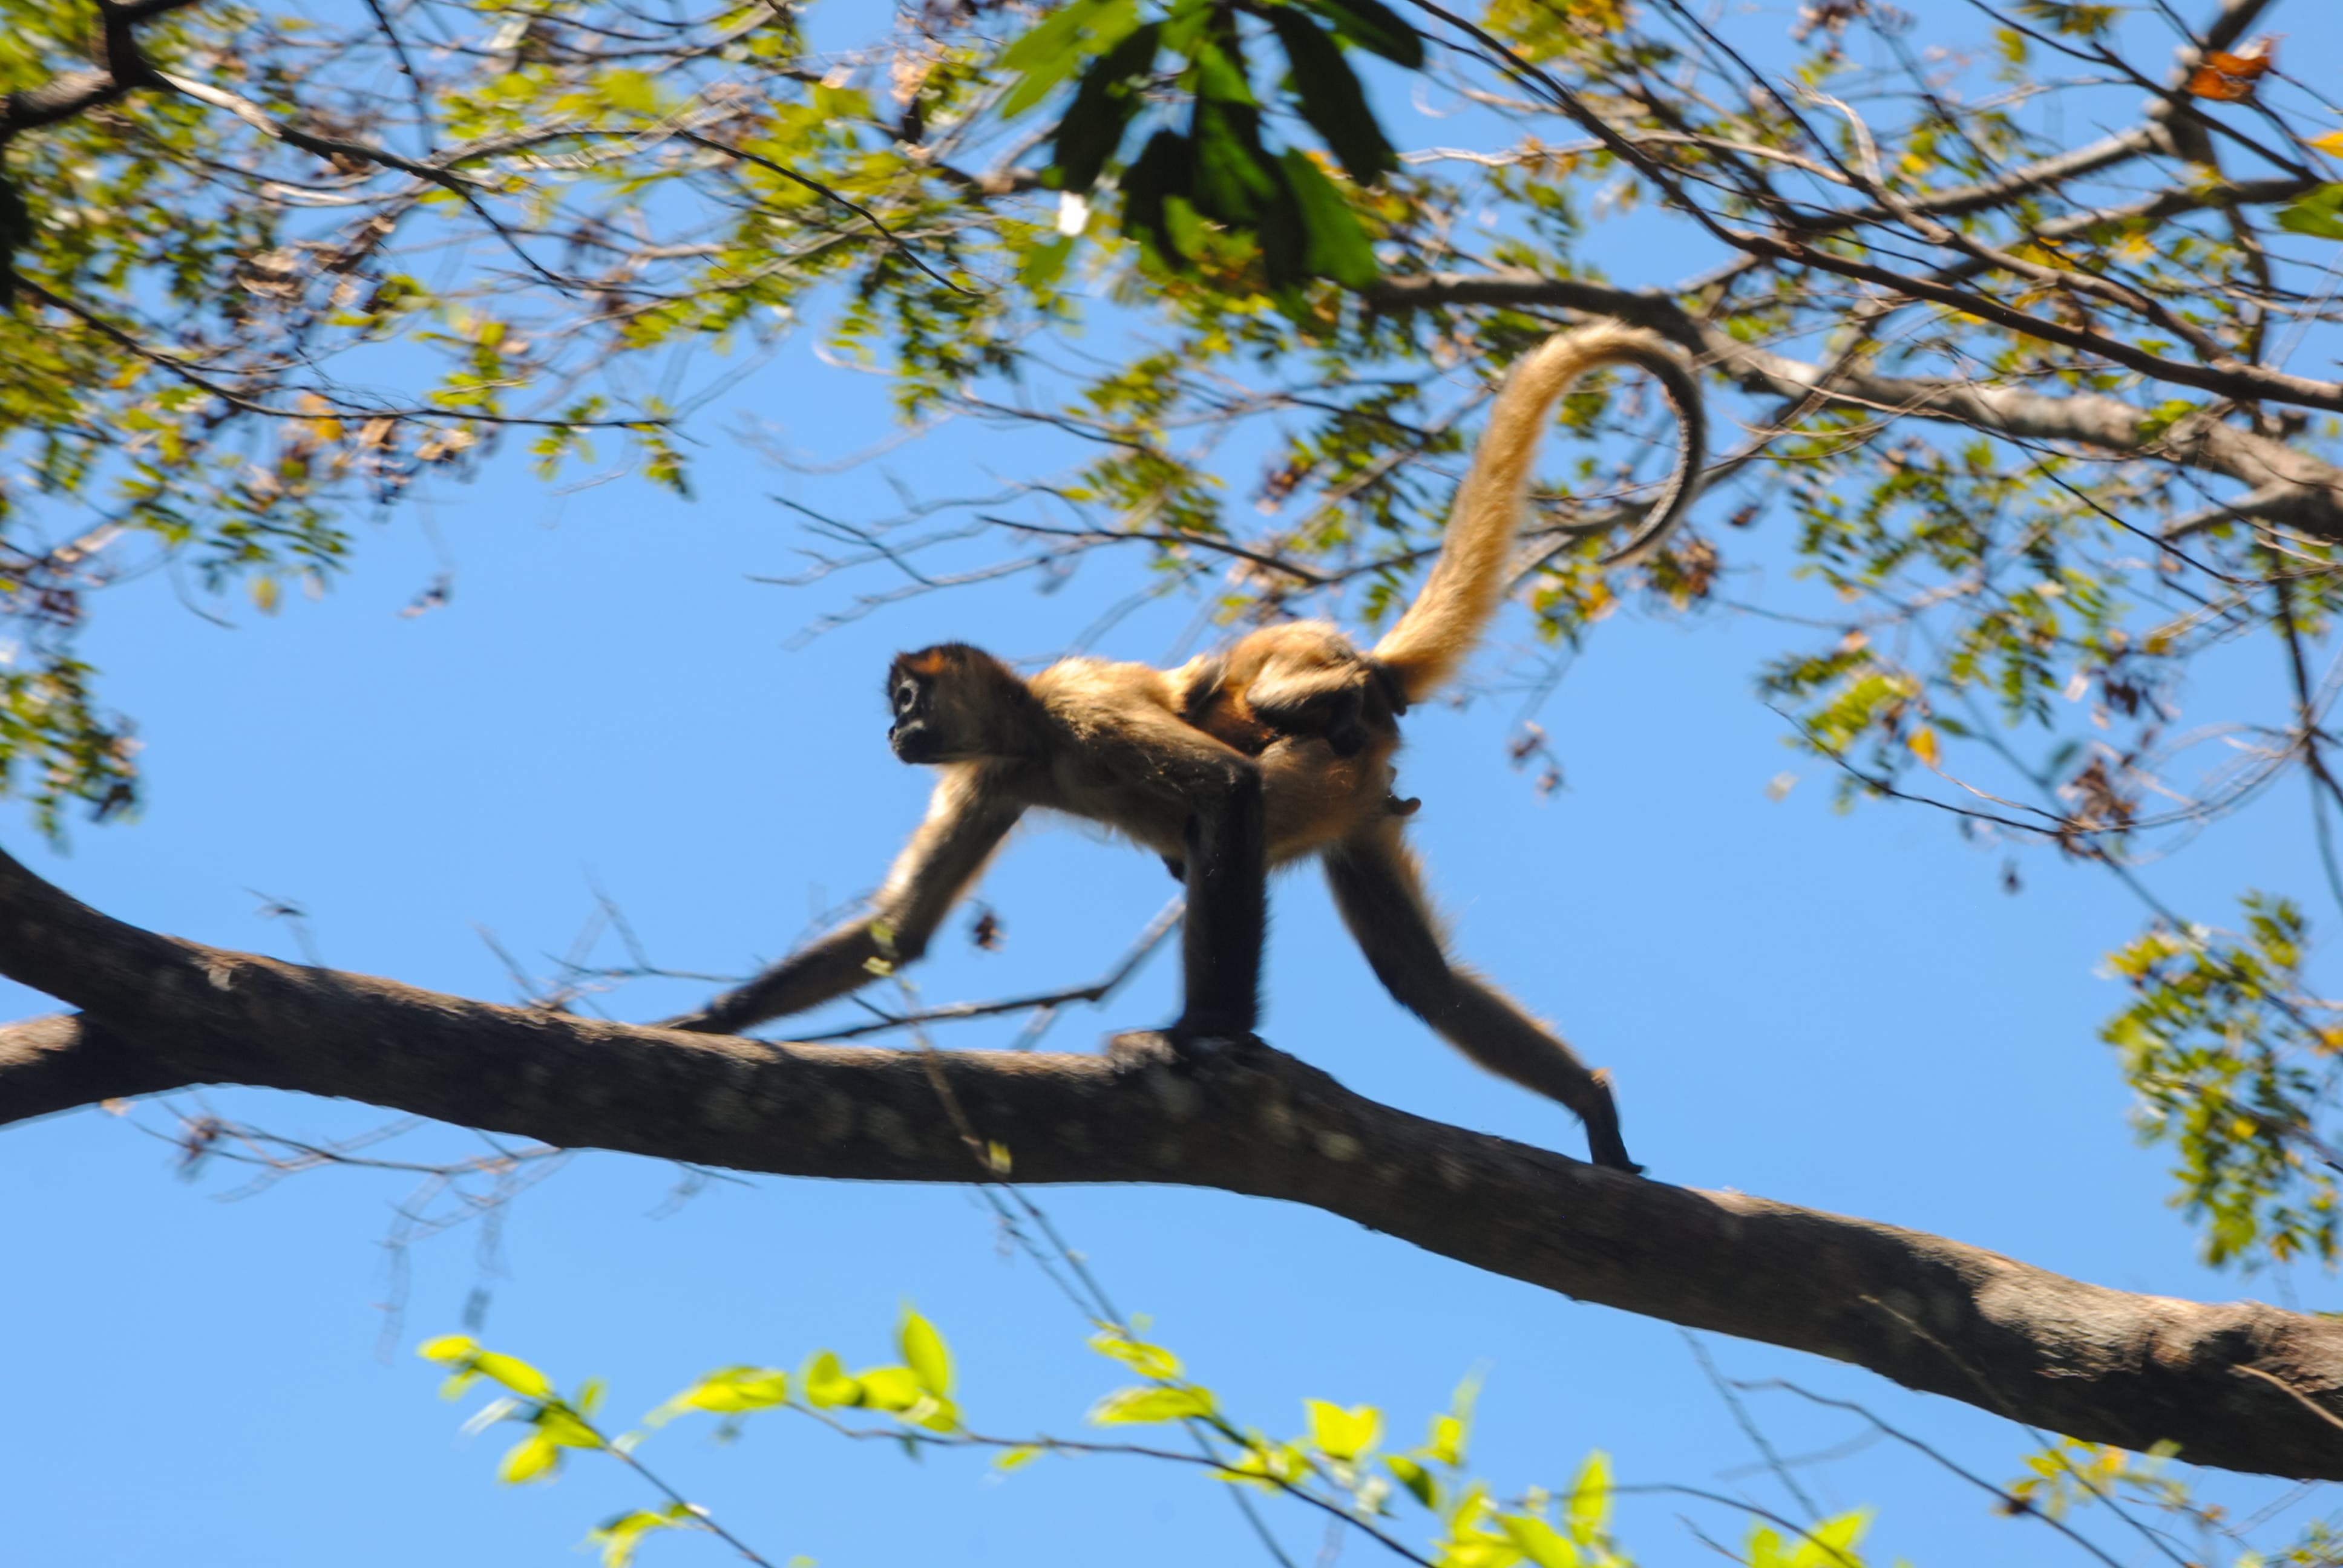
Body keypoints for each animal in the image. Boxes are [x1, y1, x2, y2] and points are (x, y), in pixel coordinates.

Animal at [666, 323, 1704, 1173]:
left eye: (906, 698)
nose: (892, 730)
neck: (1043, 736)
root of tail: (1366, 681)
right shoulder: (998, 774)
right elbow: (902, 929)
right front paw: (701, 1022)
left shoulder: (1083, 712)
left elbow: (1230, 787)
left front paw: (1207, 1037)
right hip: (1355, 799)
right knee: (1425, 982)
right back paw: (1589, 1096)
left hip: (1317, 752)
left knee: (1247, 776)